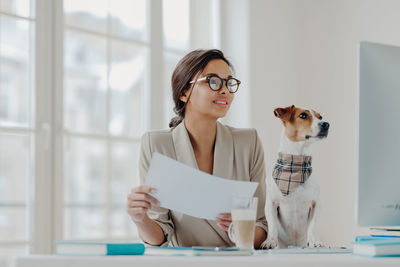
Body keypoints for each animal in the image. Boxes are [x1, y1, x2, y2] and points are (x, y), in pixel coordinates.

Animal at [260, 105, 330, 249]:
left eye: (320, 117)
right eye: (303, 115)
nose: (326, 124)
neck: (295, 165)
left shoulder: (317, 204)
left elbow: (312, 227)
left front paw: (315, 241)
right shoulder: (271, 203)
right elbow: (272, 225)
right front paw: (270, 241)